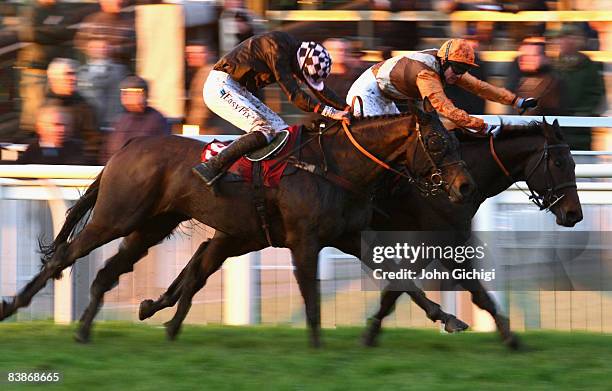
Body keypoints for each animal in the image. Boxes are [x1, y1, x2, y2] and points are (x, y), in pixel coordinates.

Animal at [0, 105, 476, 346]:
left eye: (456, 140)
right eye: (437, 141)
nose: (465, 185)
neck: (335, 166)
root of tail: (126, 146)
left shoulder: (348, 236)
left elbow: (400, 279)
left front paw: (448, 318)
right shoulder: (304, 240)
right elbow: (311, 293)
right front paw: (317, 344)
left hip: (149, 227)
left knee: (105, 272)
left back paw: (85, 329)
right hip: (117, 216)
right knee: (64, 256)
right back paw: (14, 307)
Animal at [140, 118, 584, 350]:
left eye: (574, 162)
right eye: (560, 162)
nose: (574, 215)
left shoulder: (441, 245)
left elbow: (434, 290)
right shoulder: (431, 241)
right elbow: (415, 290)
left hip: (250, 234)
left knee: (202, 257)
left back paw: (157, 305)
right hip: (253, 234)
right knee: (202, 260)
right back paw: (160, 307)